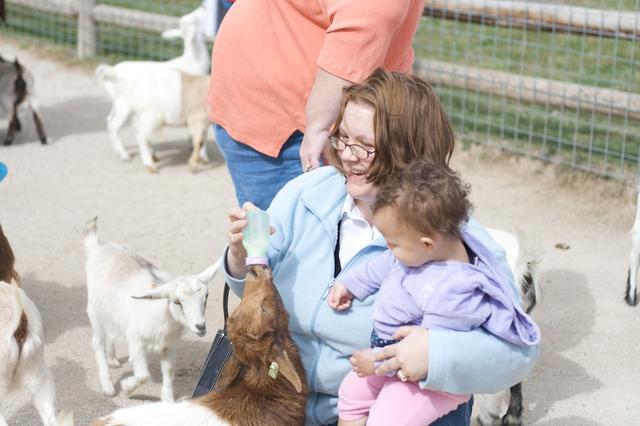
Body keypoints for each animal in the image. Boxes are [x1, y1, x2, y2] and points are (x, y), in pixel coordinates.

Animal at [82, 218, 220, 402]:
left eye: (206, 296)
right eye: (177, 302)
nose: (201, 327)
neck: (162, 316)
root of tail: (97, 248)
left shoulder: (169, 345)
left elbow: (169, 370)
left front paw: (167, 400)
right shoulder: (135, 341)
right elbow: (143, 375)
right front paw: (127, 387)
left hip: (109, 312)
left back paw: (112, 360)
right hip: (94, 311)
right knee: (97, 343)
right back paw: (108, 386)